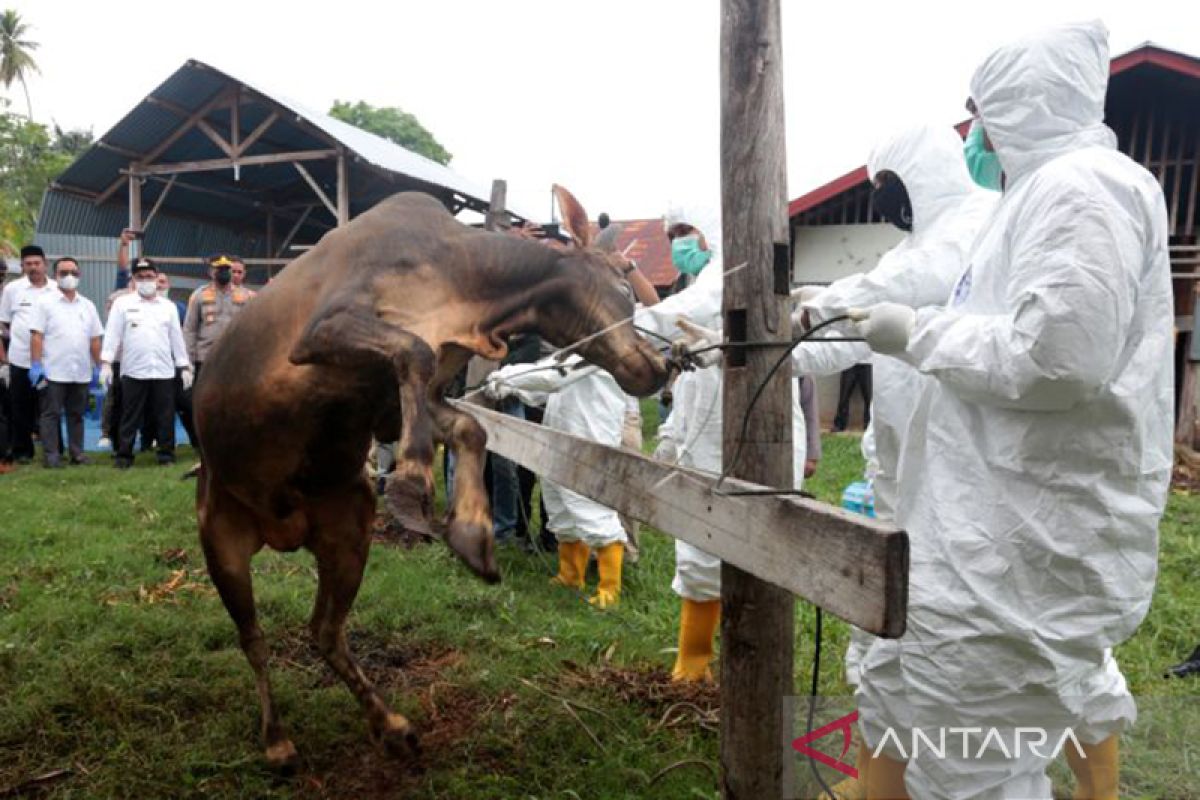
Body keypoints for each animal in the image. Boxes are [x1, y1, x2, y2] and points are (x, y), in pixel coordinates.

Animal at [192, 184, 672, 767]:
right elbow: (415, 353)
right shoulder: (324, 329)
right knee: (255, 638)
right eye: (624, 277)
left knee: (324, 632)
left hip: (348, 532)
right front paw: (413, 480)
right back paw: (277, 740)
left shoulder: (401, 404)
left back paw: (391, 724)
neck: (472, 290)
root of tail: (281, 530)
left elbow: (469, 427)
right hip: (220, 540)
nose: (663, 364)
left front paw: (469, 533)